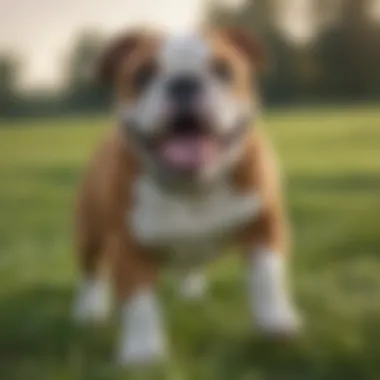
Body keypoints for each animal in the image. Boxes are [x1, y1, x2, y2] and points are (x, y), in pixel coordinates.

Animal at [72, 26, 302, 366]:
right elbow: (139, 302)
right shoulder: (128, 246)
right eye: (142, 74)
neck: (191, 186)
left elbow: (267, 278)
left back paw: (192, 290)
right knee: (91, 272)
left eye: (223, 70)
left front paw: (276, 324)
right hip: (90, 233)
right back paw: (88, 311)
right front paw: (143, 354)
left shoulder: (263, 224)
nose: (184, 82)